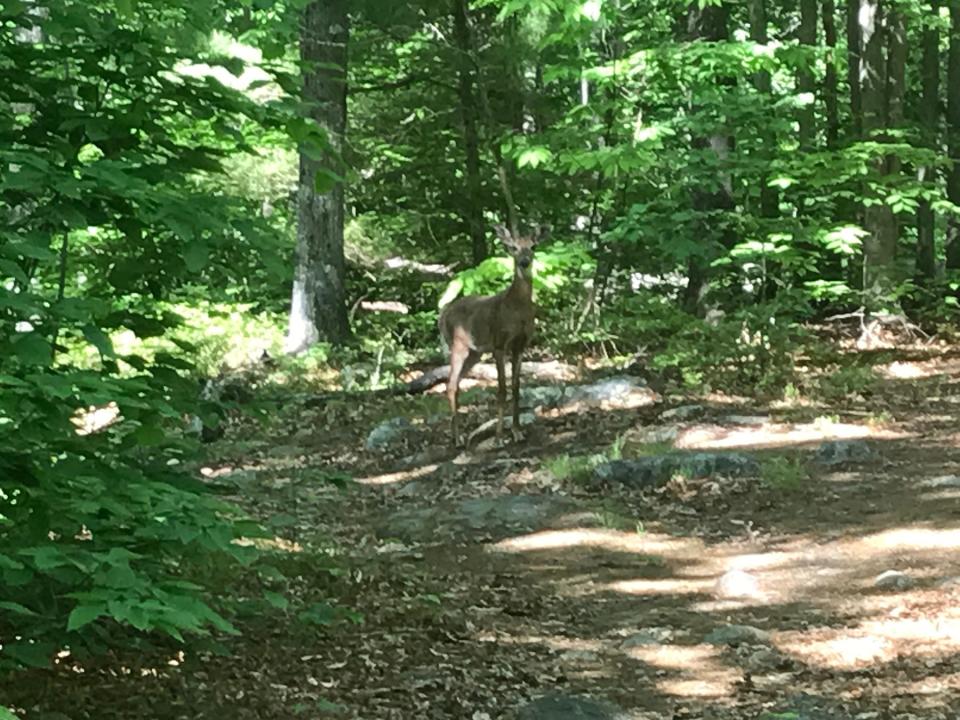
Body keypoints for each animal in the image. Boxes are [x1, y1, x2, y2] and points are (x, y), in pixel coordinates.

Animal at [436, 222, 548, 448]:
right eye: (513, 247)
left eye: (533, 246)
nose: (524, 262)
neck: (517, 310)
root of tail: (443, 314)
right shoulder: (499, 343)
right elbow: (502, 390)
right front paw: (498, 438)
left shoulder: (521, 345)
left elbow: (516, 387)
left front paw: (517, 432)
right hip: (458, 344)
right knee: (450, 385)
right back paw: (458, 438)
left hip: (474, 352)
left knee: (455, 383)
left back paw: (455, 434)